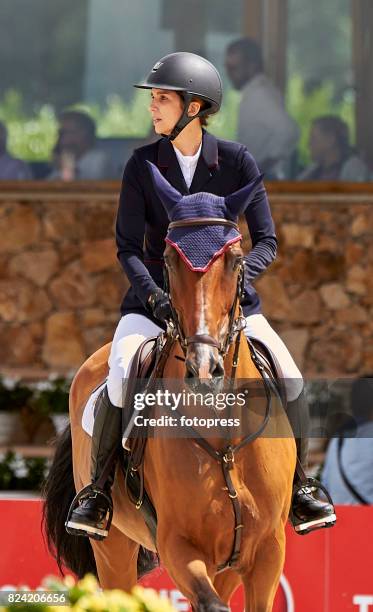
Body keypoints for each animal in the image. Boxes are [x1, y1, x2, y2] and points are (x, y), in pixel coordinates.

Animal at [42, 165, 294, 608]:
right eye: (169, 259)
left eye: (236, 260)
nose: (205, 369)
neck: (224, 432)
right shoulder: (179, 545)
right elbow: (209, 603)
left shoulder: (266, 549)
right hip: (114, 548)